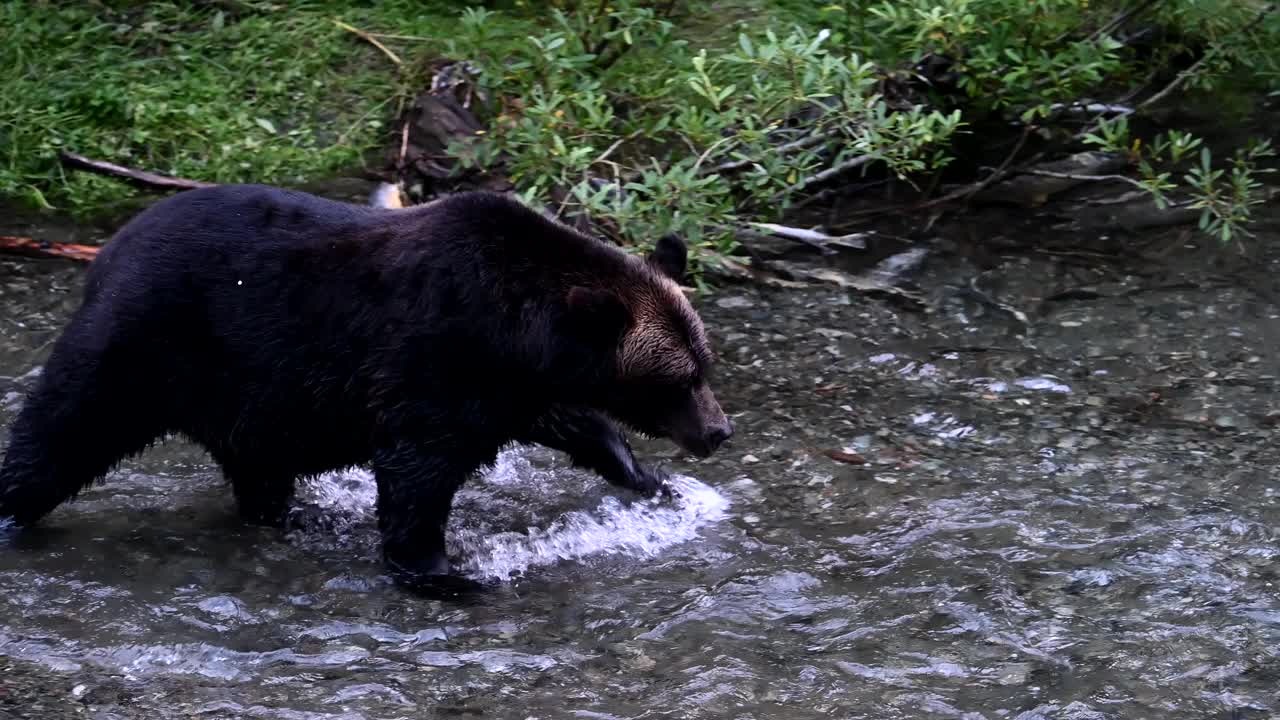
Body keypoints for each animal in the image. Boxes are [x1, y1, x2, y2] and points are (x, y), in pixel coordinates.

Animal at [0, 184, 732, 594]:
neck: (519, 330)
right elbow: (416, 471)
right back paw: (13, 512)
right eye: (679, 378)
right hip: (146, 345)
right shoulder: (434, 356)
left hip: (246, 394)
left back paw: (293, 514)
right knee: (62, 429)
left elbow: (576, 423)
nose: (718, 432)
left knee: (257, 466)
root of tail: (107, 251)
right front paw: (442, 573)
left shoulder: (512, 387)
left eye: (705, 363)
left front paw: (654, 483)